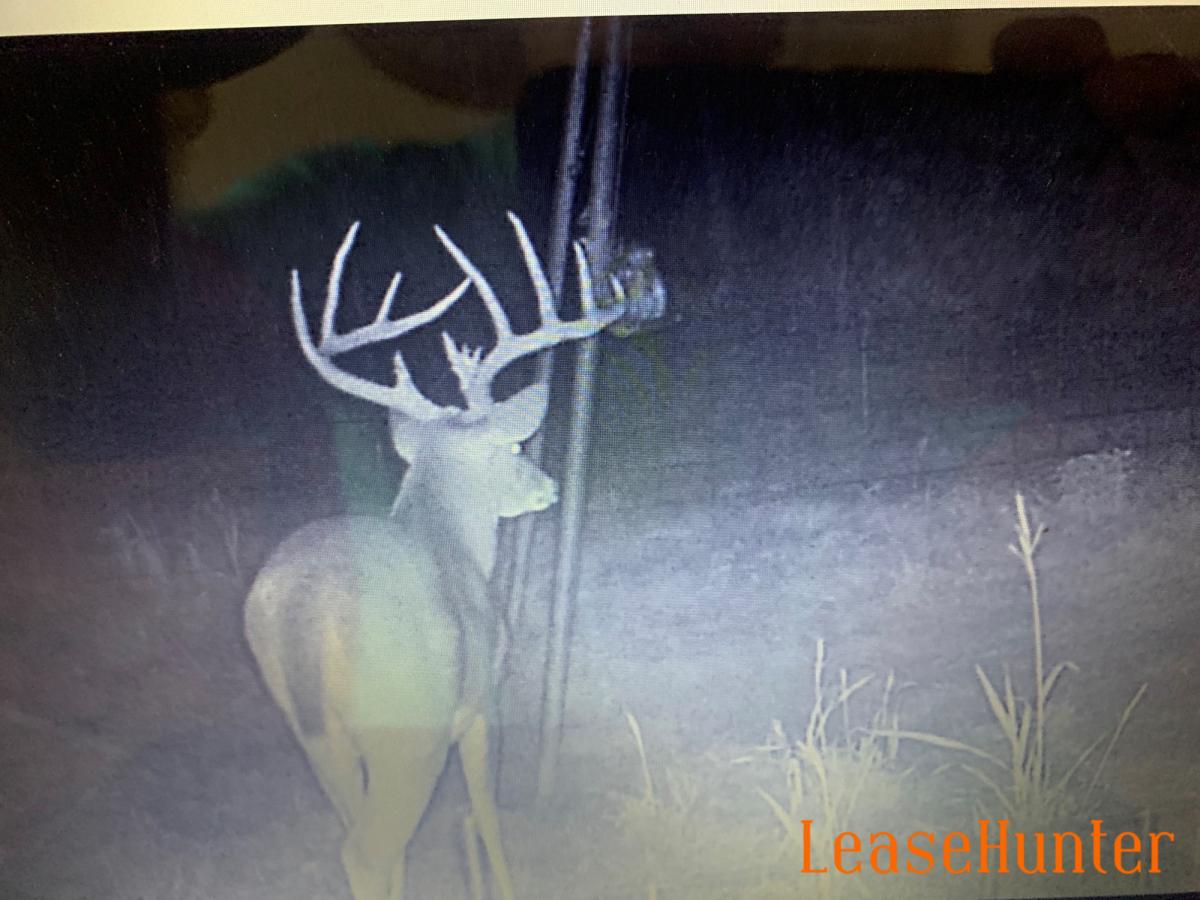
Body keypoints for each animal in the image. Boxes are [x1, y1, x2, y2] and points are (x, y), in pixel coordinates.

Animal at [244, 212, 624, 900]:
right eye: (513, 447)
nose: (548, 486)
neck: (456, 546)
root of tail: (306, 611)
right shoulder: (481, 701)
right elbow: (485, 811)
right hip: (406, 730)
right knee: (366, 850)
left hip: (311, 731)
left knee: (363, 838)